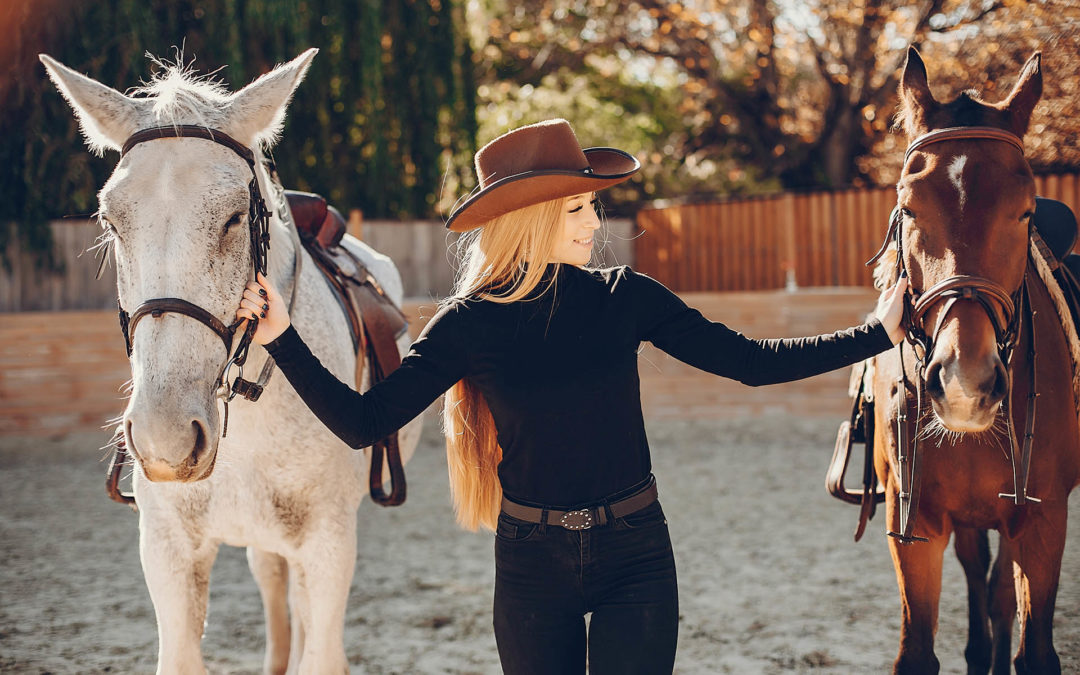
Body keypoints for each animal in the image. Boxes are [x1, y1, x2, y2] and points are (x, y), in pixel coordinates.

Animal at [38, 49, 419, 669]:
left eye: (236, 217)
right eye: (110, 222)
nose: (165, 438)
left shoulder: (329, 545)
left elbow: (321, 646)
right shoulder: (168, 550)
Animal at [868, 48, 1080, 673]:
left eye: (1025, 210)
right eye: (908, 208)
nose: (966, 383)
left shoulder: (1040, 521)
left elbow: (1032, 648)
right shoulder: (914, 525)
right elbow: (917, 652)